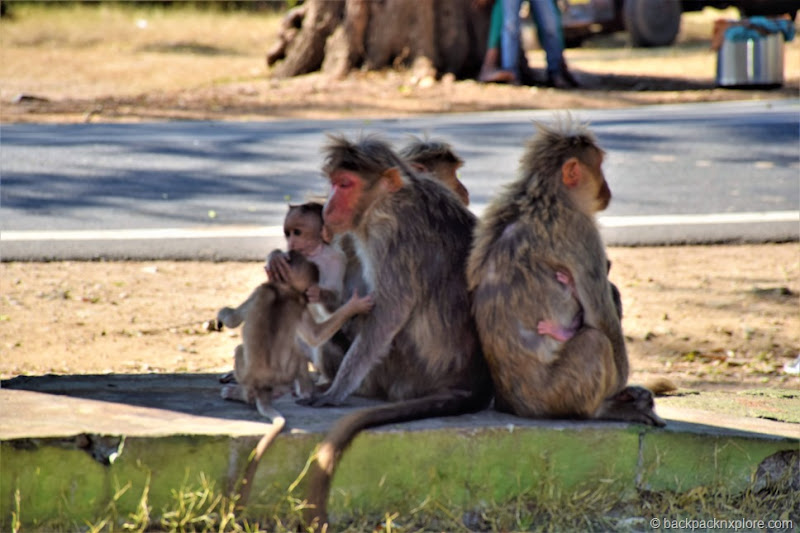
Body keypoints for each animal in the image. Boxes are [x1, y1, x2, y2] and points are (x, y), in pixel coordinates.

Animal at [220, 249, 374, 420]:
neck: (284, 289)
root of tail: (262, 384)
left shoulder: (261, 291)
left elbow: (232, 320)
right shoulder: (295, 303)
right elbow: (316, 335)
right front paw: (355, 306)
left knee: (242, 350)